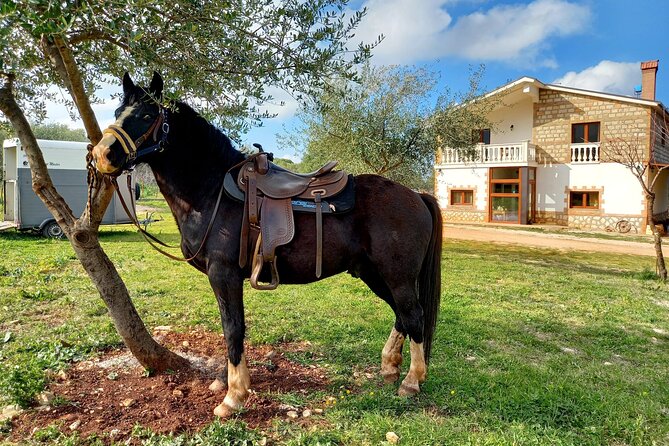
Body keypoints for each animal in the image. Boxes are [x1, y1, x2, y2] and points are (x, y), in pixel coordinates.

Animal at [90, 73, 444, 418]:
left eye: (147, 115)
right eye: (117, 112)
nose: (102, 154)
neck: (211, 191)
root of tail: (416, 195)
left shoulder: (224, 274)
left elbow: (233, 328)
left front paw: (234, 397)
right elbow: (232, 328)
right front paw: (230, 383)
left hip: (397, 275)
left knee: (414, 315)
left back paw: (412, 381)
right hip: (374, 273)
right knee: (402, 314)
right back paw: (390, 367)